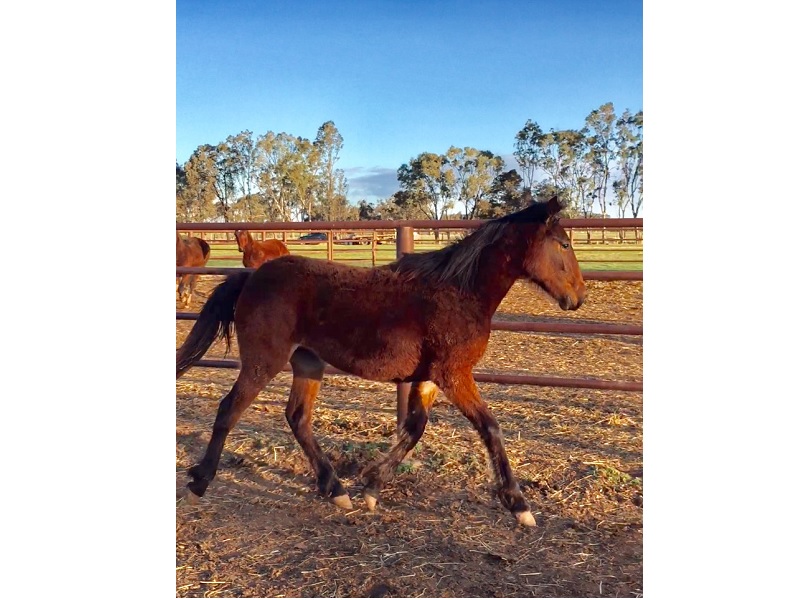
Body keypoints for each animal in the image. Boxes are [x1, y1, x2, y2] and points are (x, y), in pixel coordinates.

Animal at [176, 197, 585, 527]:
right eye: (564, 244)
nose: (578, 297)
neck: (460, 292)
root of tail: (250, 276)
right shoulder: (454, 375)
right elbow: (490, 428)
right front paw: (519, 505)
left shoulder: (431, 377)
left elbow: (415, 428)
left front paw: (372, 488)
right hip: (264, 361)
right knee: (229, 410)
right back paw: (199, 482)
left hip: (308, 364)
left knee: (298, 418)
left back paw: (335, 489)